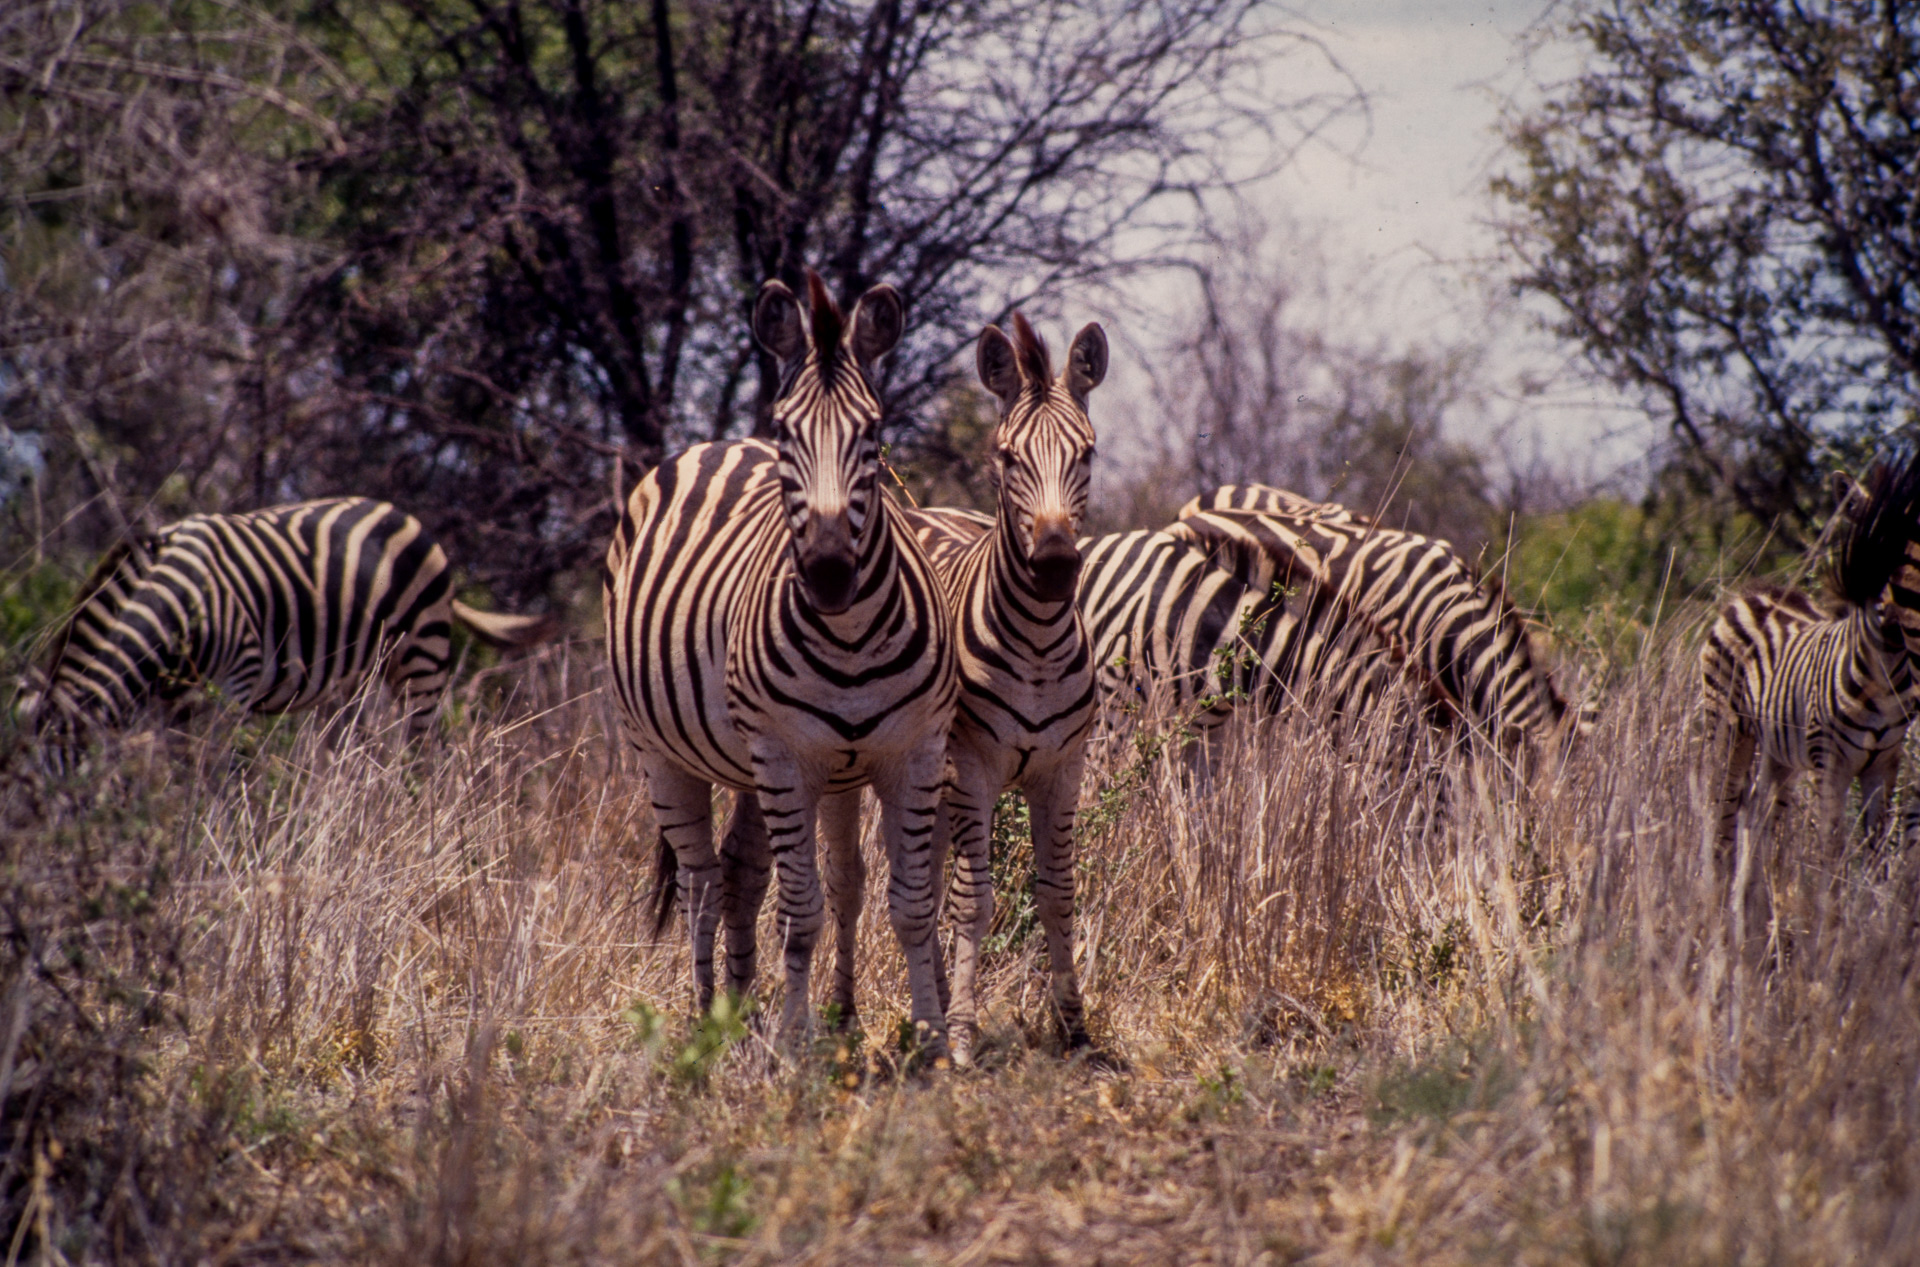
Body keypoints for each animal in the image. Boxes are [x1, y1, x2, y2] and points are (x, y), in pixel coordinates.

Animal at [26, 495, 552, 771]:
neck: (180, 602)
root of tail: (405, 515)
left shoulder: (232, 687)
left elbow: (209, 775)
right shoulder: (177, 700)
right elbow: (181, 768)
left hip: (421, 661)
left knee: (423, 753)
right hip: (352, 680)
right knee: (355, 746)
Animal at [602, 272, 956, 1051]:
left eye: (873, 432)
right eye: (787, 432)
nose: (827, 574)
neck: (850, 633)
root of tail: (716, 444)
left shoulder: (912, 751)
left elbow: (910, 903)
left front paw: (933, 1038)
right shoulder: (786, 755)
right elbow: (803, 906)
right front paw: (797, 1041)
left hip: (761, 764)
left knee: (742, 870)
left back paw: (739, 1008)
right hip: (663, 751)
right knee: (703, 878)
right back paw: (706, 1015)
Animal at [814, 310, 1113, 1067]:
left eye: (1088, 454)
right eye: (1007, 458)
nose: (1055, 566)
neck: (1037, 645)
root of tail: (923, 512)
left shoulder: (1063, 768)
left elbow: (1058, 892)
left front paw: (1074, 1028)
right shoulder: (972, 766)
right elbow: (973, 900)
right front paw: (962, 1037)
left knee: (922, 875)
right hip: (858, 767)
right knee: (850, 883)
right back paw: (845, 1015)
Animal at [1697, 451, 1920, 856]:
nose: (1883, 609)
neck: (1885, 673)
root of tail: (1752, 593)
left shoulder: (1884, 765)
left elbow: (1876, 852)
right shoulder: (1827, 763)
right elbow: (1831, 850)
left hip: (1778, 749)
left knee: (1761, 818)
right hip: (1727, 727)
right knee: (1722, 813)